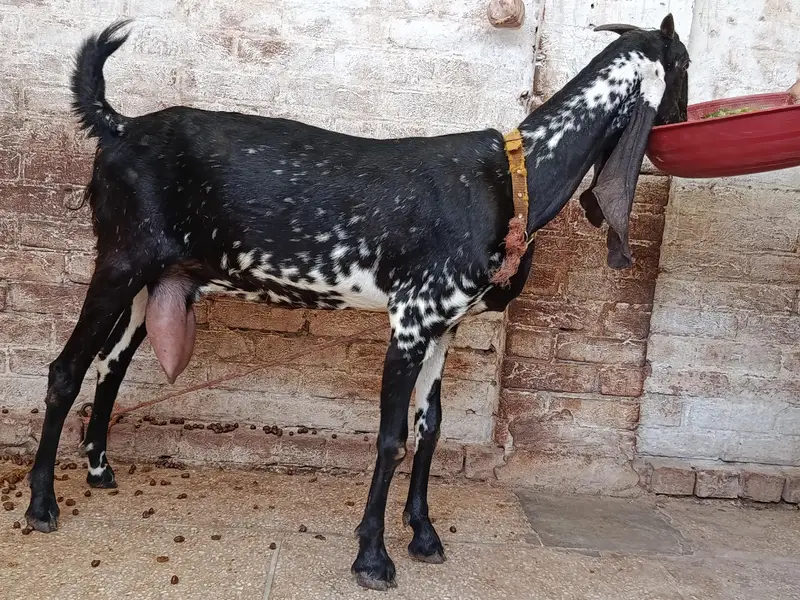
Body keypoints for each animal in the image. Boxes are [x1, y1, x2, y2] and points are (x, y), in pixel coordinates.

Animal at [25, 15, 689, 591]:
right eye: (683, 65)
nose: (682, 123)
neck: (511, 175)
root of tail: (119, 126)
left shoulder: (443, 325)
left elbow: (430, 427)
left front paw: (424, 535)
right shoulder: (411, 318)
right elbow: (392, 437)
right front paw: (373, 556)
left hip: (153, 282)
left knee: (110, 366)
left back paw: (99, 470)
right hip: (119, 260)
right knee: (66, 369)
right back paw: (41, 504)